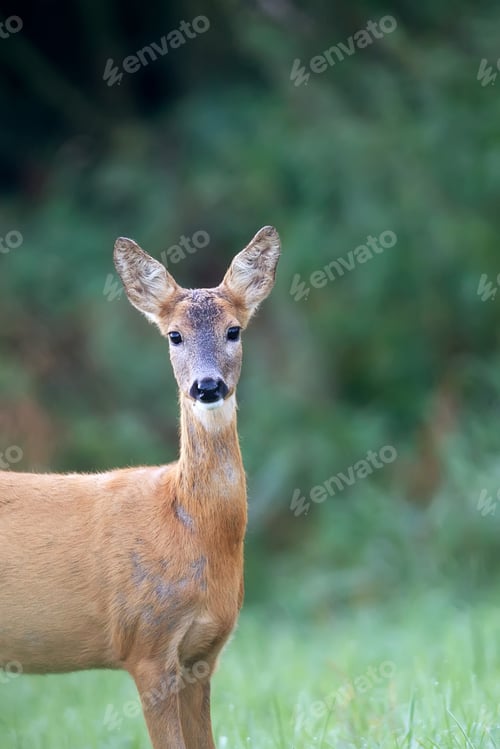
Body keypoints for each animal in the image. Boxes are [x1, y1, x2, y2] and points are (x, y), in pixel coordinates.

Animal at [0, 225, 281, 748]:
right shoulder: (145, 644)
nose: (207, 386)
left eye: (234, 330)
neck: (185, 522)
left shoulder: (203, 654)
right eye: (175, 335)